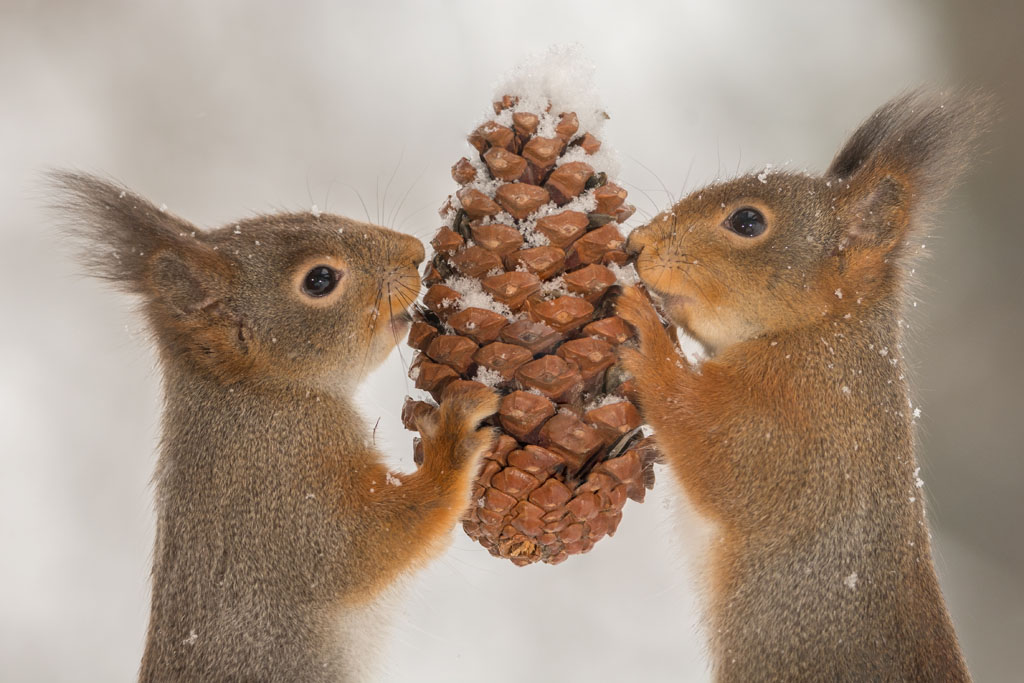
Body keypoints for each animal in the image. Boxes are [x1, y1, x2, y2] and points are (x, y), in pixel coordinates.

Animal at [54, 174, 497, 683]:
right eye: (320, 279)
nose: (415, 252)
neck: (263, 395)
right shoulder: (285, 496)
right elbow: (368, 543)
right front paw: (452, 439)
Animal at [614, 92, 991, 683]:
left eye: (747, 221)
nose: (636, 243)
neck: (816, 333)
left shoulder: (802, 435)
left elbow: (718, 454)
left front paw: (650, 340)